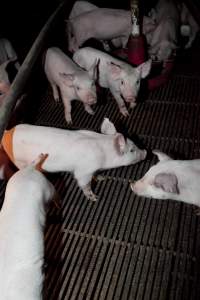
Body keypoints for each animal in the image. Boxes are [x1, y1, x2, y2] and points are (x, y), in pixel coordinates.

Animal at [0, 118, 146, 200]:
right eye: (132, 150)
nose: (145, 152)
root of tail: (7, 134)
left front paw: (102, 178)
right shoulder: (83, 171)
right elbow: (83, 183)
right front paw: (95, 198)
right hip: (20, 161)